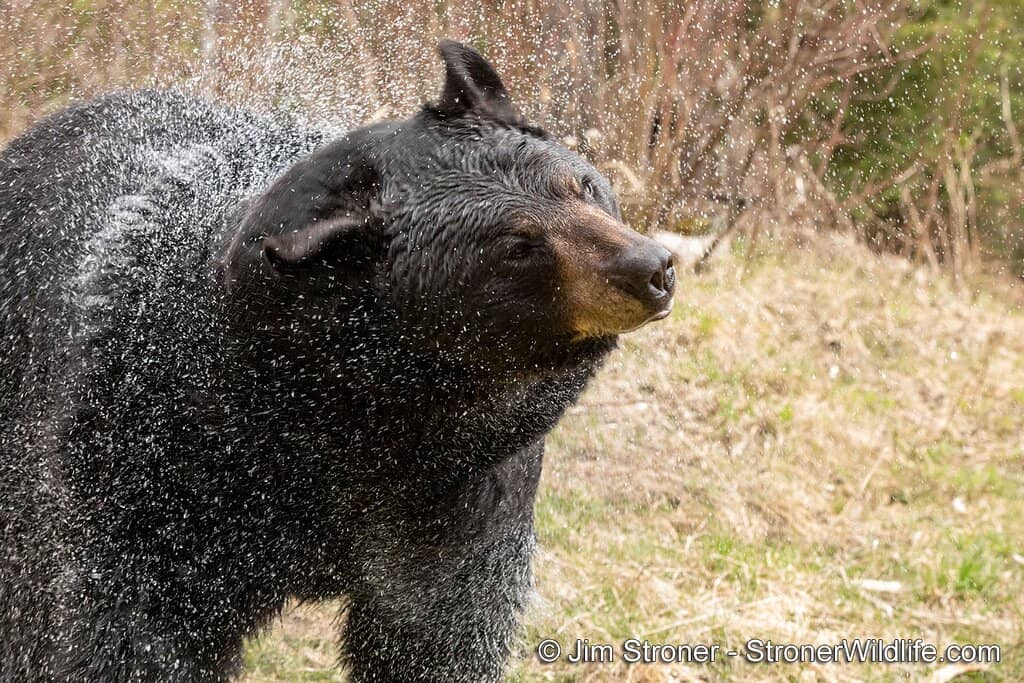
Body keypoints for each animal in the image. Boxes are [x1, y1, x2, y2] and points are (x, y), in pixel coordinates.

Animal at [0, 40, 675, 681]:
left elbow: (438, 630)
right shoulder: (150, 457)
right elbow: (130, 628)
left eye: (582, 185)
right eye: (518, 245)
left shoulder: (463, 494)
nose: (653, 268)